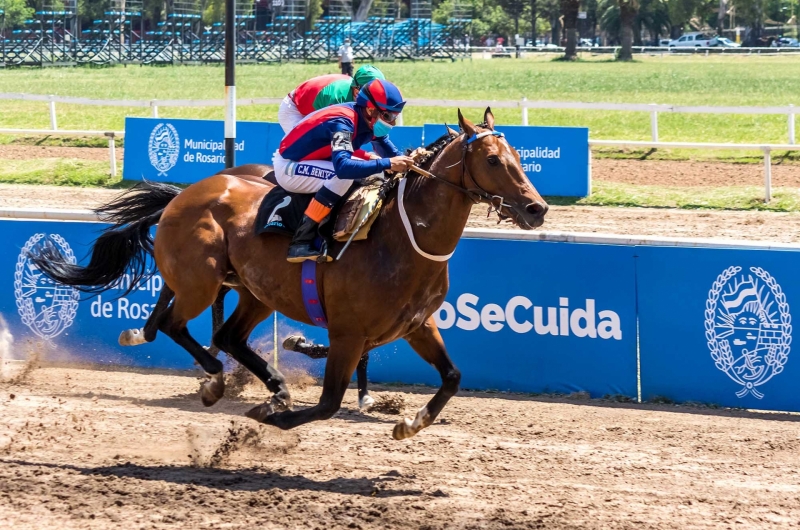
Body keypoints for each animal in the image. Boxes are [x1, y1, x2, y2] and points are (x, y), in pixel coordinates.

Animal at [34, 108, 552, 438]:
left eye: (519, 158)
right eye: (492, 160)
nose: (537, 208)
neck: (403, 239)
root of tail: (182, 195)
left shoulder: (416, 325)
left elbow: (452, 377)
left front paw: (408, 423)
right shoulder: (348, 333)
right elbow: (327, 403)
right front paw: (271, 415)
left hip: (255, 292)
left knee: (226, 336)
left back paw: (274, 386)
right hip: (201, 280)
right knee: (174, 324)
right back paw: (216, 380)